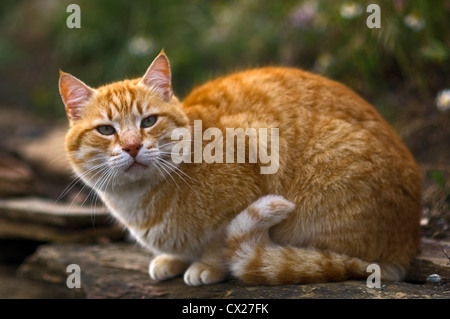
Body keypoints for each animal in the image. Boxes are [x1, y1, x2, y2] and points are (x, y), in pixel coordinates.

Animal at [58, 50, 420, 288]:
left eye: (148, 121)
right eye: (106, 130)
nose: (132, 147)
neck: (139, 202)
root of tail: (407, 245)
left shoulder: (253, 150)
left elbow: (219, 241)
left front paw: (207, 266)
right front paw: (173, 260)